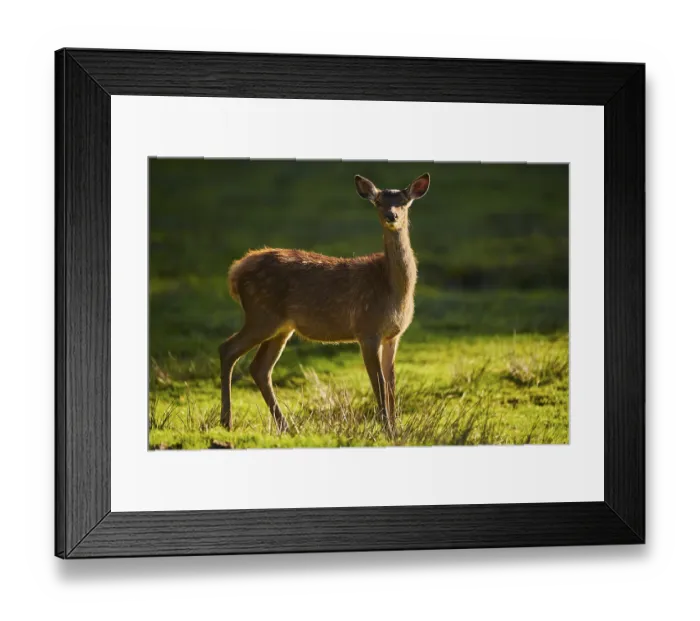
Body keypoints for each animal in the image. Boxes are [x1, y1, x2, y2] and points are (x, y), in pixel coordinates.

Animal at [219, 173, 430, 435]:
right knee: (227, 349)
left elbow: (391, 383)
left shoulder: (393, 335)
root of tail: (235, 272)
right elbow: (379, 384)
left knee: (259, 368)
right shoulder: (367, 329)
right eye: (378, 202)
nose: (392, 216)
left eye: (403, 202)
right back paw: (227, 422)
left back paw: (285, 426)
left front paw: (396, 428)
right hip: (261, 314)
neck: (393, 289)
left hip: (281, 326)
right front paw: (386, 429)